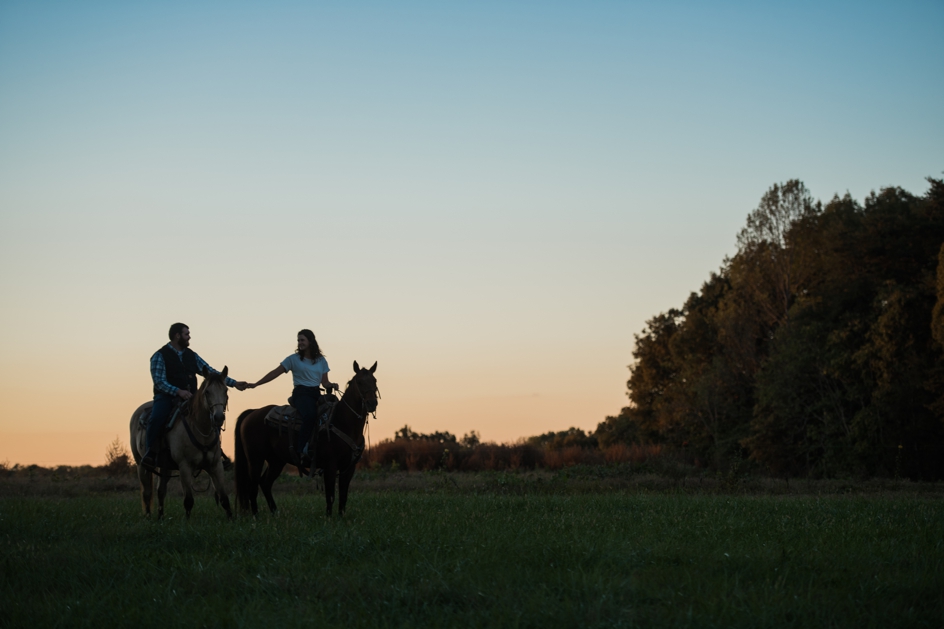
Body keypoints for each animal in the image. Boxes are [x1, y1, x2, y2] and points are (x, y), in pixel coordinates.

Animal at [129, 366, 234, 516]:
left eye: (225, 390)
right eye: (207, 392)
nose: (218, 417)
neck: (199, 428)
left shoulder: (215, 465)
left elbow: (224, 498)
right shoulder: (184, 466)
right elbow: (188, 501)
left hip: (165, 466)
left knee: (161, 491)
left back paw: (160, 517)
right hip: (141, 465)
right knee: (147, 493)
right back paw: (148, 517)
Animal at [234, 360, 378, 516]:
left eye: (374, 380)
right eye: (359, 381)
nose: (372, 403)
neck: (342, 422)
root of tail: (252, 412)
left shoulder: (349, 468)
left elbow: (343, 496)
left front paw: (341, 517)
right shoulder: (330, 466)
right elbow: (330, 495)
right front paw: (329, 518)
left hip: (276, 461)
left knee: (265, 483)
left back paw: (275, 513)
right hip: (255, 459)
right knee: (252, 487)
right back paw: (256, 516)